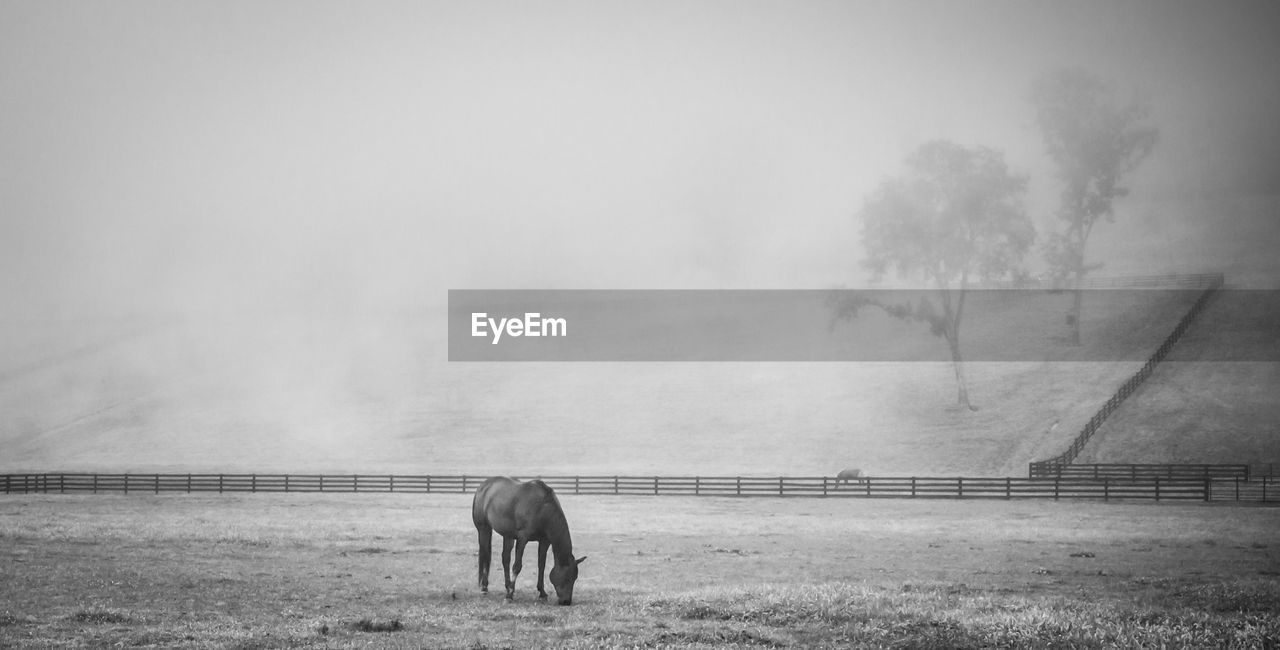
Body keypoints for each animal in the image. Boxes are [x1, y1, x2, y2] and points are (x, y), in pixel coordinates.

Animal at [473, 475, 586, 606]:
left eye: (575, 578)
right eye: (567, 578)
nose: (566, 601)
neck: (542, 508)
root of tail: (483, 487)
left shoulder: (544, 541)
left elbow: (541, 565)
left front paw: (542, 593)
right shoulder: (522, 539)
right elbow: (517, 566)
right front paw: (509, 596)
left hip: (508, 535)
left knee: (505, 558)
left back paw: (507, 586)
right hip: (484, 529)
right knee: (486, 555)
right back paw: (485, 588)